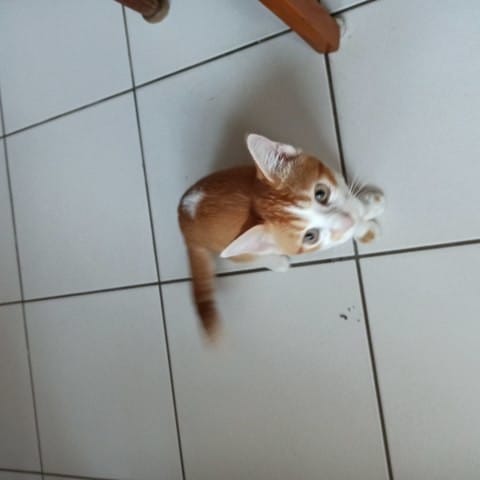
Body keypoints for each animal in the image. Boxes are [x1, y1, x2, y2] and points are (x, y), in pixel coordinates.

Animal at [178, 133, 384, 339]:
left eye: (320, 193)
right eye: (310, 236)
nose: (348, 220)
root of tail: (183, 220)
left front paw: (367, 206)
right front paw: (364, 228)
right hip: (232, 250)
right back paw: (276, 261)